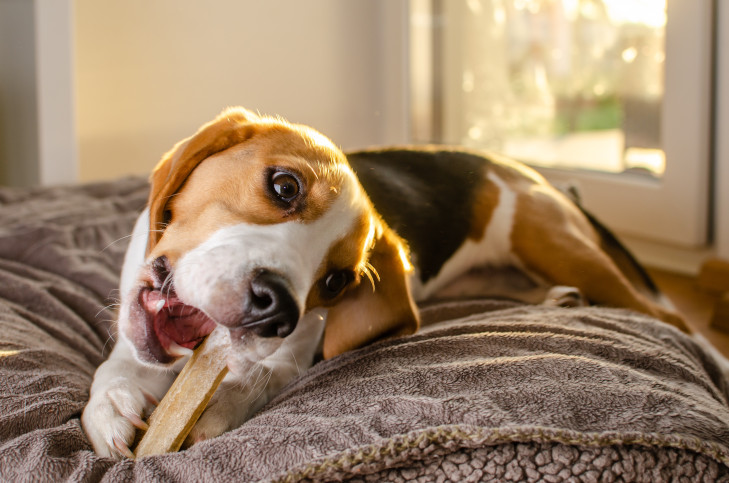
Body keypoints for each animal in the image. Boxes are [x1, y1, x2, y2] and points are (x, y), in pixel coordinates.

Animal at [82, 108, 684, 460]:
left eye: (335, 282)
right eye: (284, 186)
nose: (277, 309)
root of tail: (527, 169)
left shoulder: (293, 357)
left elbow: (260, 375)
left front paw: (218, 407)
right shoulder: (134, 334)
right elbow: (114, 370)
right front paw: (110, 405)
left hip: (558, 246)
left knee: (668, 316)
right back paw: (558, 299)